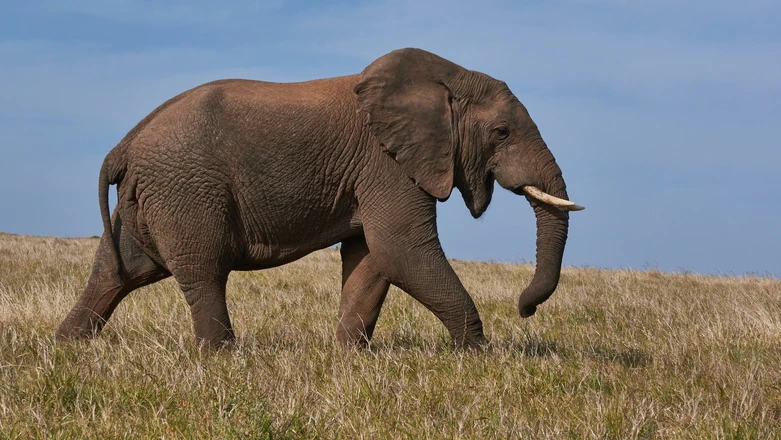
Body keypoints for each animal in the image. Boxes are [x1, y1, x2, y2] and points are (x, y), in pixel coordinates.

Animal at [56, 48, 580, 348]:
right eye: (501, 132)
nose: (525, 309)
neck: (445, 78)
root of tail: (124, 145)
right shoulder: (385, 163)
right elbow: (402, 250)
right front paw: (474, 355)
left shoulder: (374, 171)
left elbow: (372, 258)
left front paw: (348, 357)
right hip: (185, 189)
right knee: (203, 271)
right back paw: (222, 358)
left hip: (149, 198)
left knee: (118, 271)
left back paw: (68, 348)